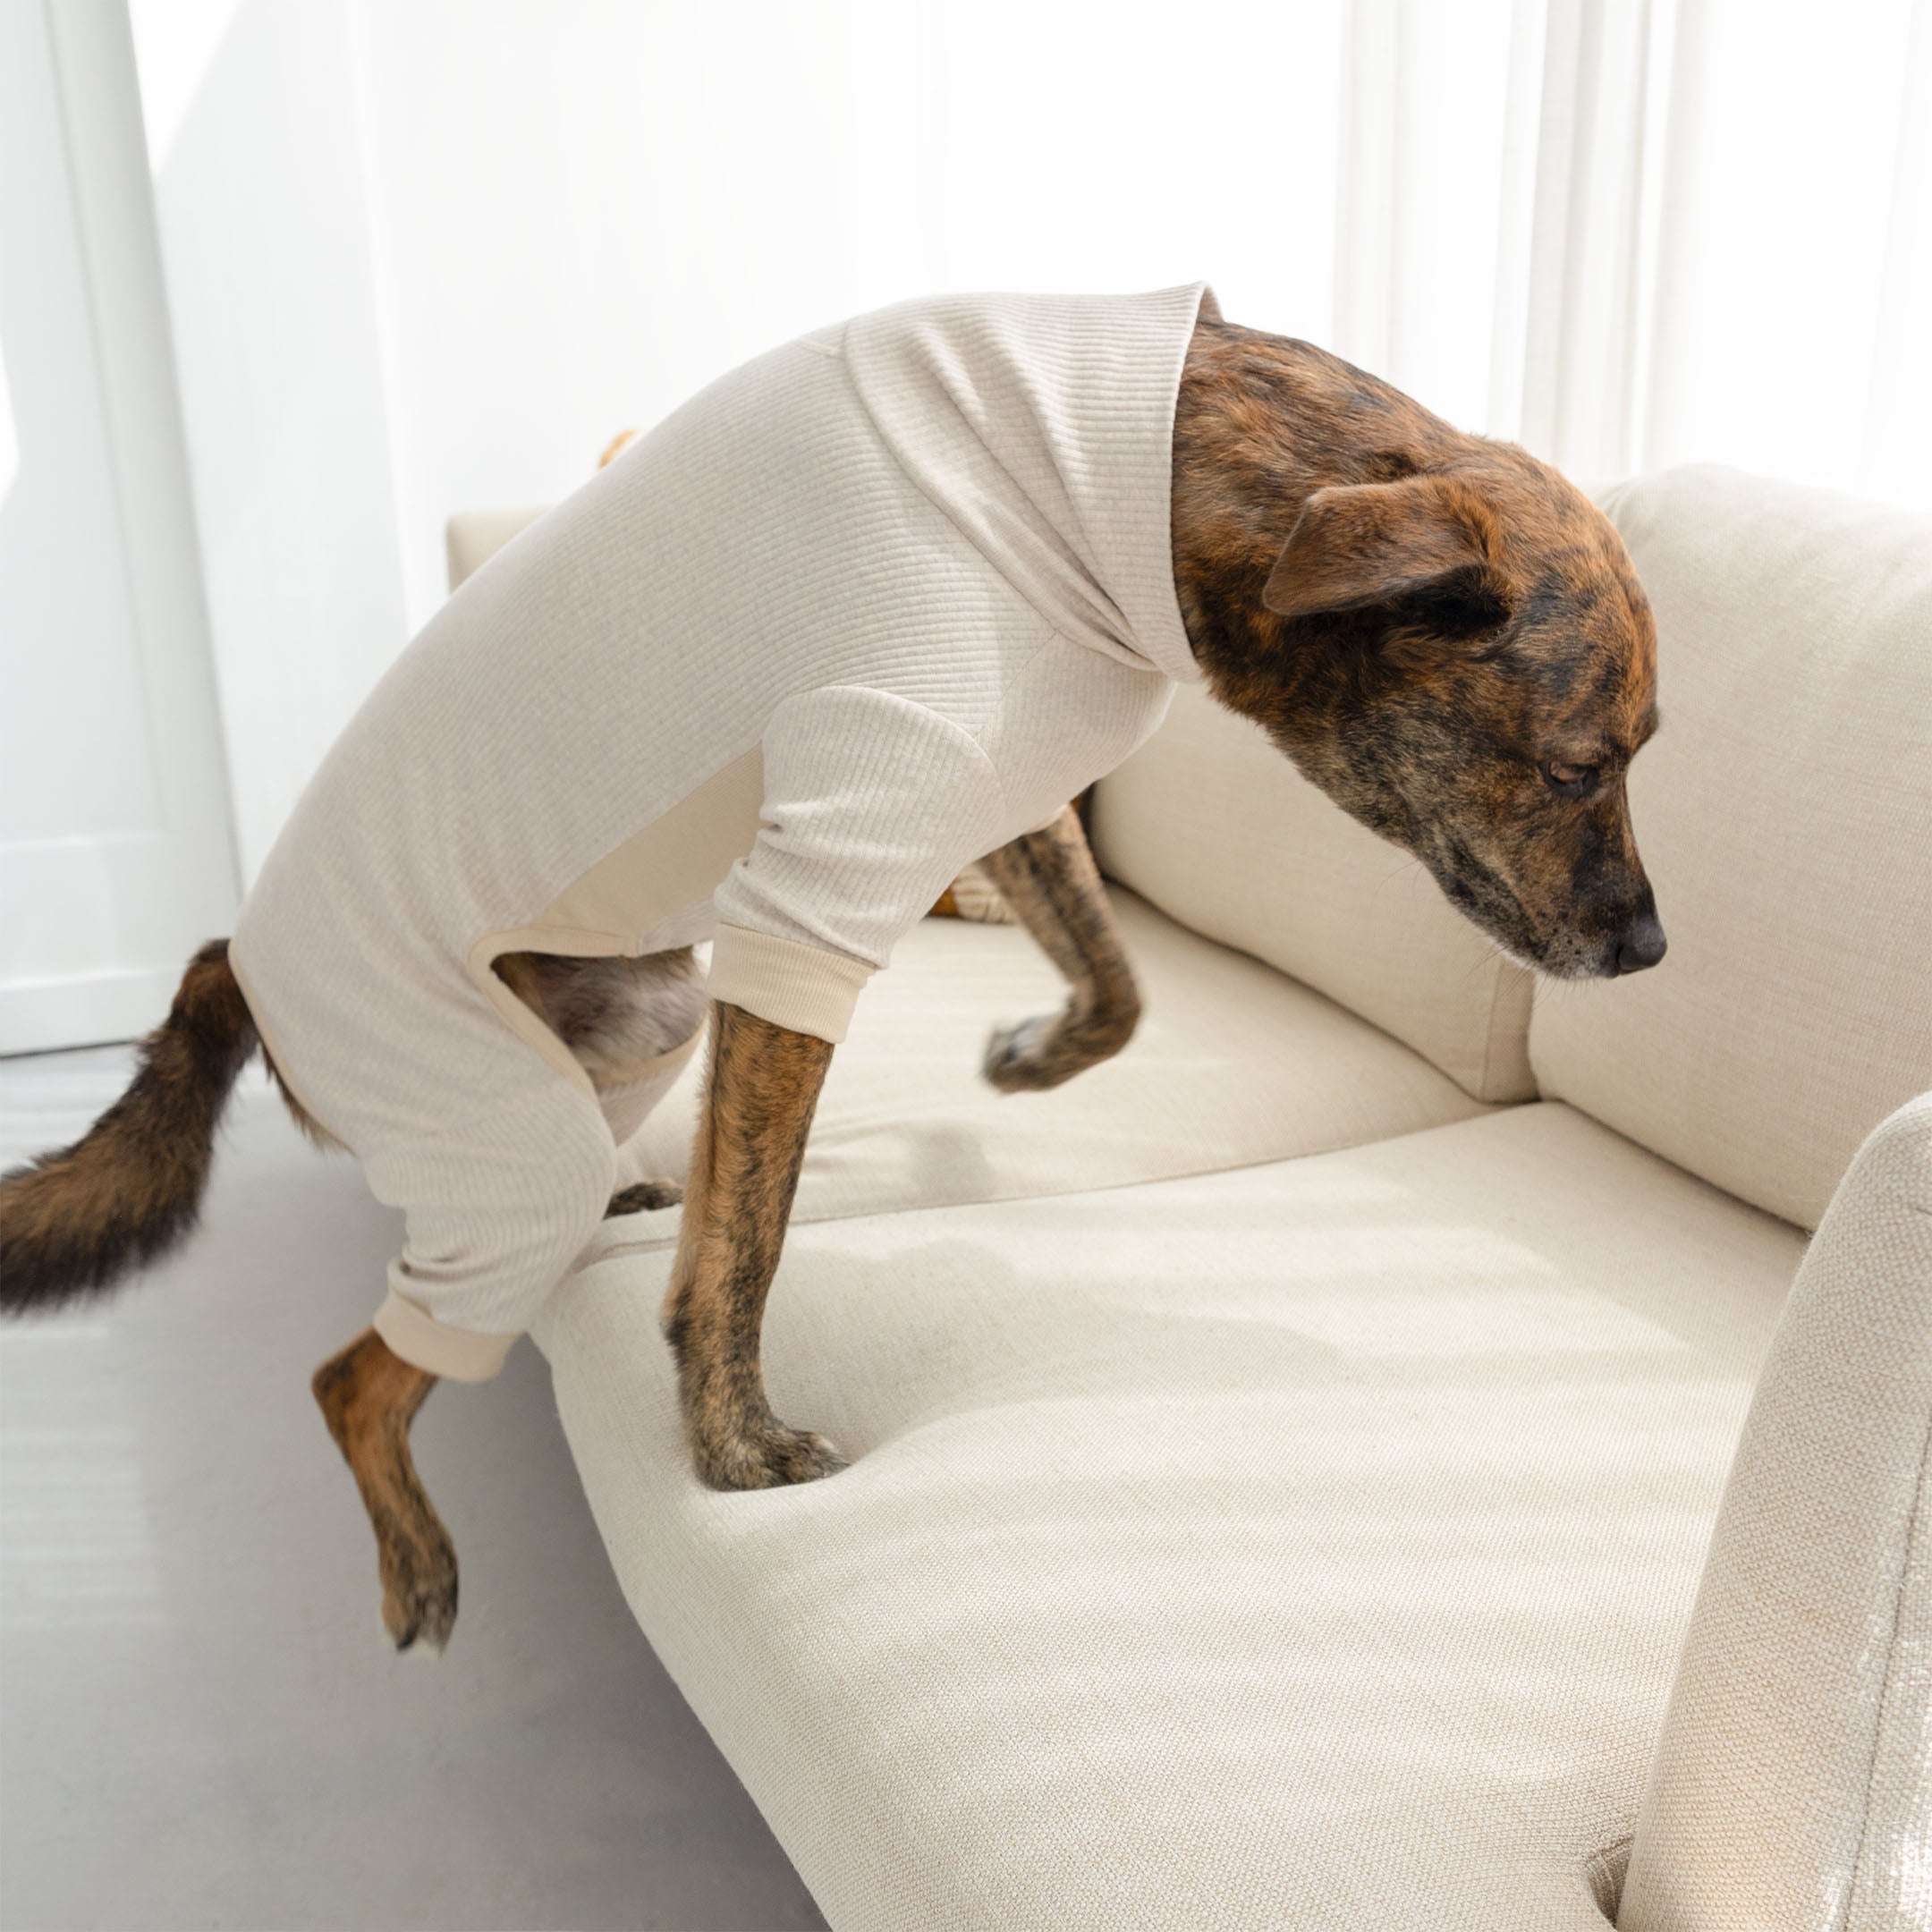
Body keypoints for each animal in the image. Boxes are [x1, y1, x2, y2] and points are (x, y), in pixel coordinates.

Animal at [0, 285, 1661, 1646]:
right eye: (1583, 764)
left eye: (1643, 755)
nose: (1651, 949)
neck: (1119, 467)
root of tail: (232, 965)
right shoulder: (821, 895)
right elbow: (750, 1247)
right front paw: (735, 1449)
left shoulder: (990, 796)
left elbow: (1118, 986)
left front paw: (1031, 1059)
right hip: (499, 1121)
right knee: (355, 1377)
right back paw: (418, 1563)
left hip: (646, 1016)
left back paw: (621, 1202)